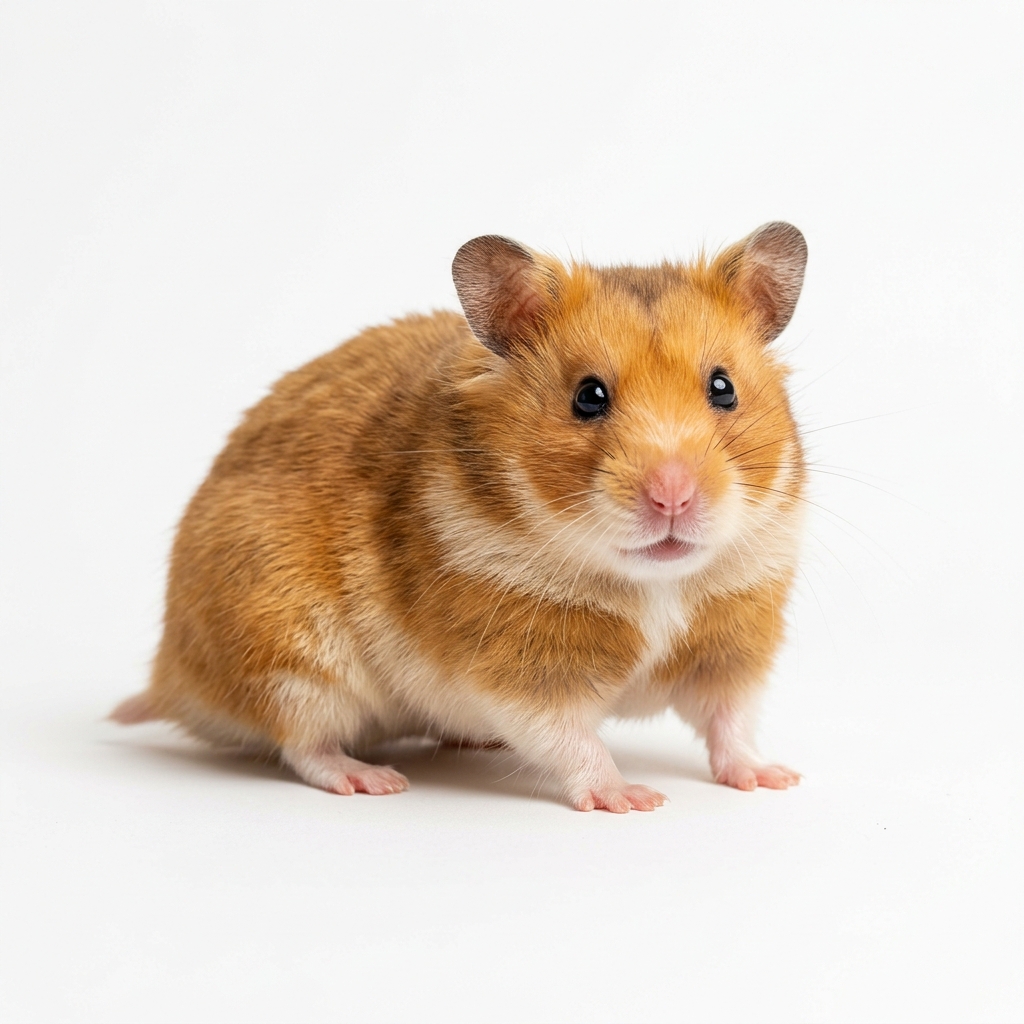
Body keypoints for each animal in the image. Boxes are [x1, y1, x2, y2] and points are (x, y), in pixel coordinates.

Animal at [112, 222, 808, 812]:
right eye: (588, 397)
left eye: (723, 387)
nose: (673, 497)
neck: (654, 583)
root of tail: (172, 676)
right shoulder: (516, 672)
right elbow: (572, 740)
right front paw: (635, 799)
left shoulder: (734, 648)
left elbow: (730, 721)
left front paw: (774, 779)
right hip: (288, 650)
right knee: (304, 743)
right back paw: (374, 779)